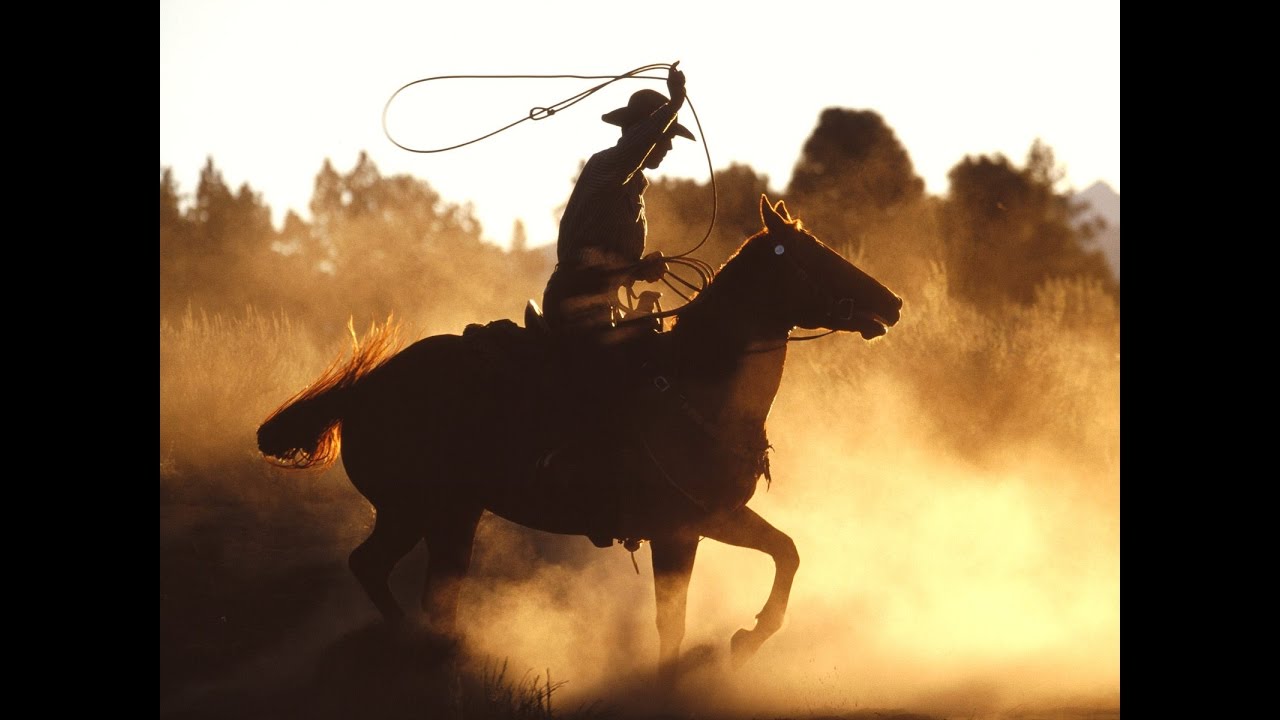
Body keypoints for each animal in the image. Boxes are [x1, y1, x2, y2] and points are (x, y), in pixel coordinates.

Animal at [257, 193, 901, 676]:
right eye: (815, 255)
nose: (892, 302)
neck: (699, 390)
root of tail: (365, 389)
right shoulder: (679, 529)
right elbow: (677, 617)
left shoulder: (713, 520)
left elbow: (785, 552)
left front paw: (748, 637)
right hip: (410, 509)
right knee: (372, 567)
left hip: (454, 514)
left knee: (438, 591)